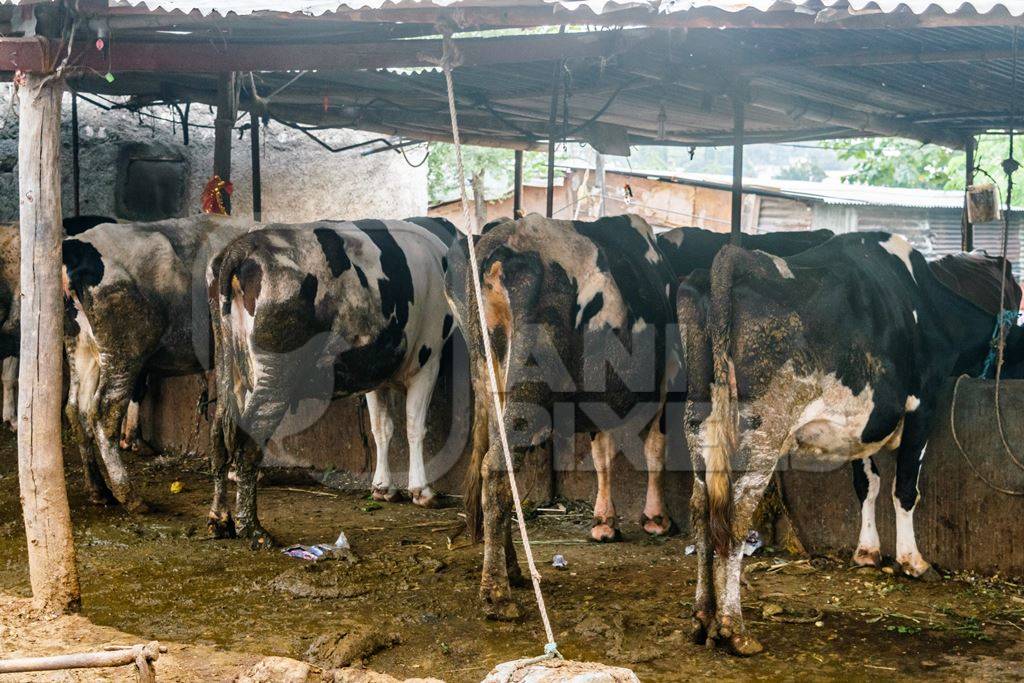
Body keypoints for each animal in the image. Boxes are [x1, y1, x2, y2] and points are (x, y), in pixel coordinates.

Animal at [207, 218, 456, 544]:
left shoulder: (376, 373)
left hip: (229, 367)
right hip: (276, 372)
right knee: (249, 438)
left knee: (218, 437)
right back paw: (253, 530)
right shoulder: (427, 359)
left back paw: (220, 519)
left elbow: (382, 429)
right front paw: (422, 491)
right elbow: (415, 427)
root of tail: (241, 247)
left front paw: (383, 488)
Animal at [446, 214, 679, 618]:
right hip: (530, 385)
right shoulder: (664, 381)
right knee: (497, 469)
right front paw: (656, 518)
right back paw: (497, 593)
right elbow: (655, 449)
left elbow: (602, 456)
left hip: (490, 381)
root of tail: (501, 242)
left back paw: (512, 570)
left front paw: (604, 523)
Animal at [679, 232, 1024, 655]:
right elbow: (904, 488)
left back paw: (702, 619)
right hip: (762, 430)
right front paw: (913, 561)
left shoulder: (863, 425)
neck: (926, 303)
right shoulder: (923, 403)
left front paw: (867, 551)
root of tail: (738, 260)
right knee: (735, 515)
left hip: (700, 423)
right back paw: (734, 629)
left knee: (700, 512)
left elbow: (867, 484)